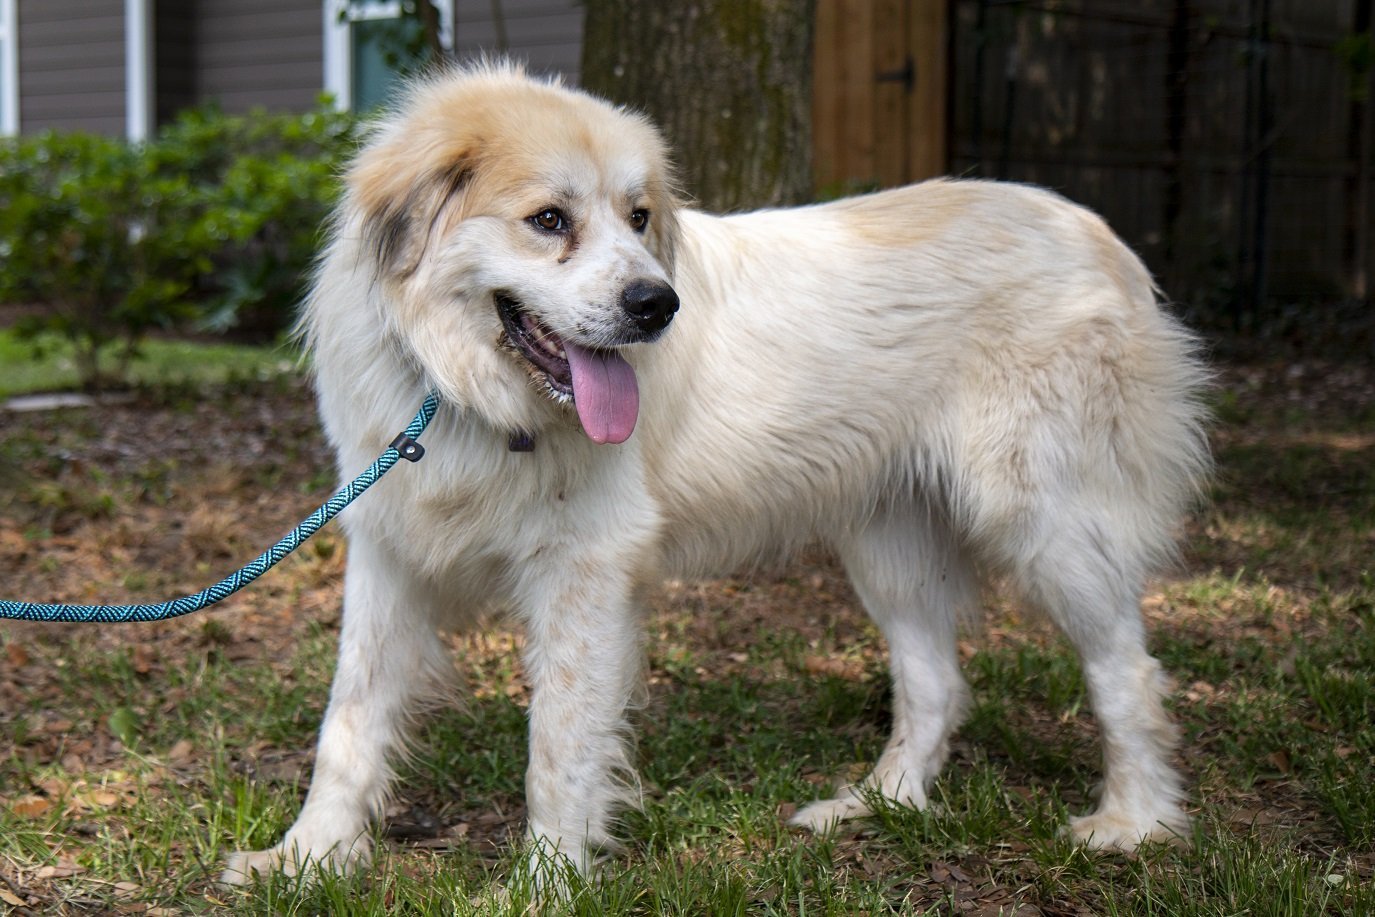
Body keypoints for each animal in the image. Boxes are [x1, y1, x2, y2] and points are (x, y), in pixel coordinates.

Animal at [220, 62, 1210, 879]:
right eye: (549, 221)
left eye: (638, 218)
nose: (657, 304)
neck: (462, 393)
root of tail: (1092, 232)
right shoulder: (386, 549)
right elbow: (348, 720)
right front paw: (306, 856)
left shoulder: (584, 571)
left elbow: (558, 745)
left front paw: (546, 884)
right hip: (888, 544)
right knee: (936, 683)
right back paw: (874, 805)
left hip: (1044, 524)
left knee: (1124, 669)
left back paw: (1133, 823)